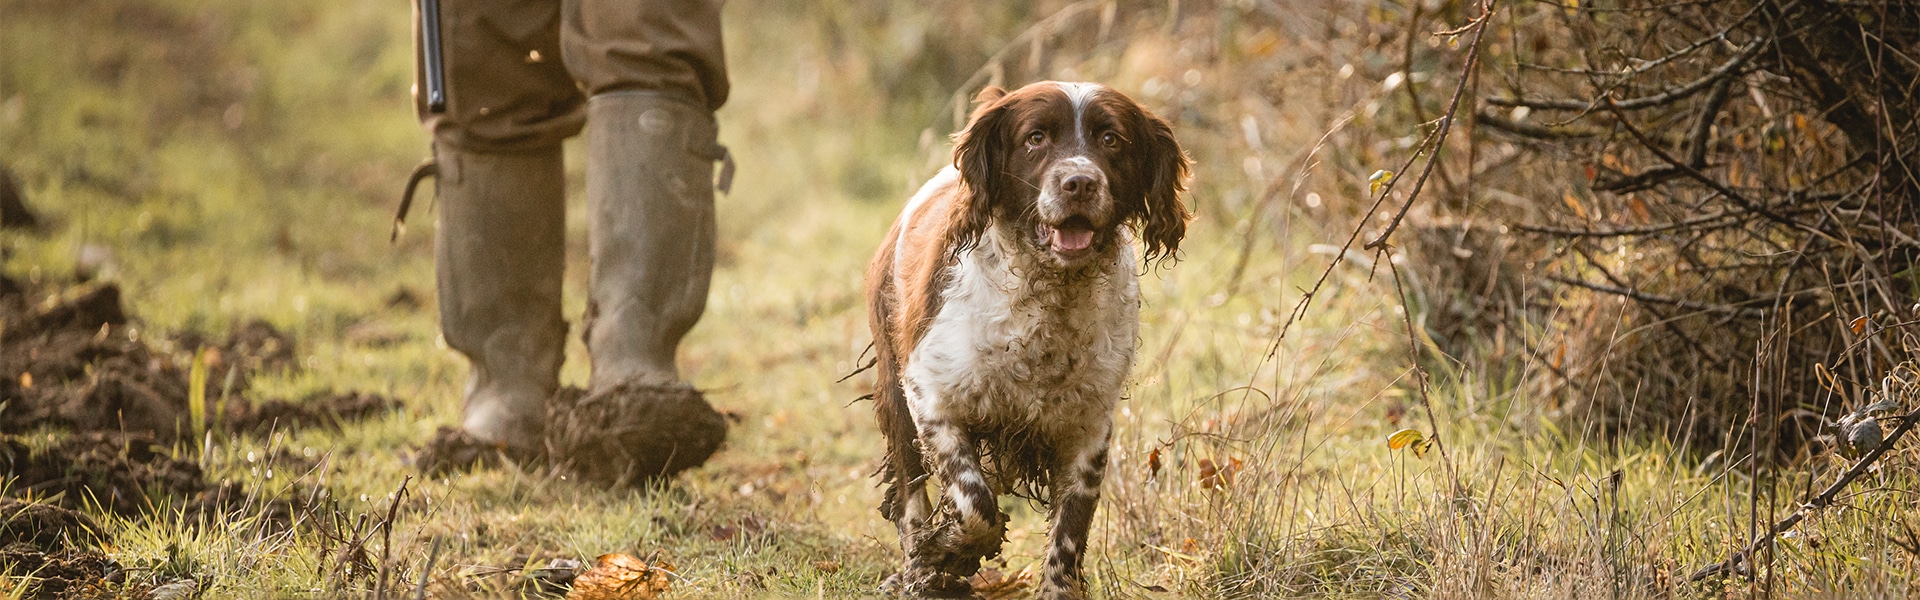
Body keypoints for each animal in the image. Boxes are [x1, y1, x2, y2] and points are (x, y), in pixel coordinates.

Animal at [867, 82, 1182, 596]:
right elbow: (975, 506)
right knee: (911, 494)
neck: (1049, 297)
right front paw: (944, 553)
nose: (1080, 183)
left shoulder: (1087, 429)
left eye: (1111, 139)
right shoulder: (930, 395)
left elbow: (1068, 534)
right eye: (1036, 138)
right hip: (894, 397)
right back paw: (917, 571)